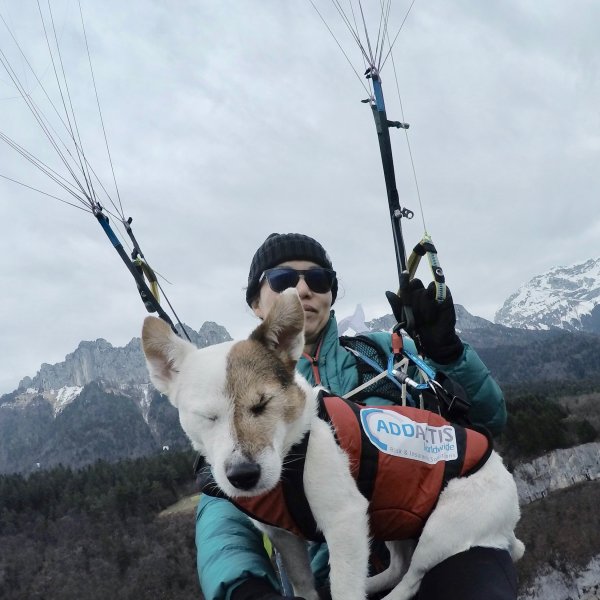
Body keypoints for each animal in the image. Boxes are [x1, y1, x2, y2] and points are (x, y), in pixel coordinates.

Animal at [143, 288, 524, 596]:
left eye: (262, 404)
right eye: (207, 416)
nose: (243, 476)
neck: (293, 448)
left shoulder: (344, 522)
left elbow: (345, 588)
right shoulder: (284, 538)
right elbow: (302, 585)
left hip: (443, 529)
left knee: (413, 575)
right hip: (393, 517)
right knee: (399, 566)